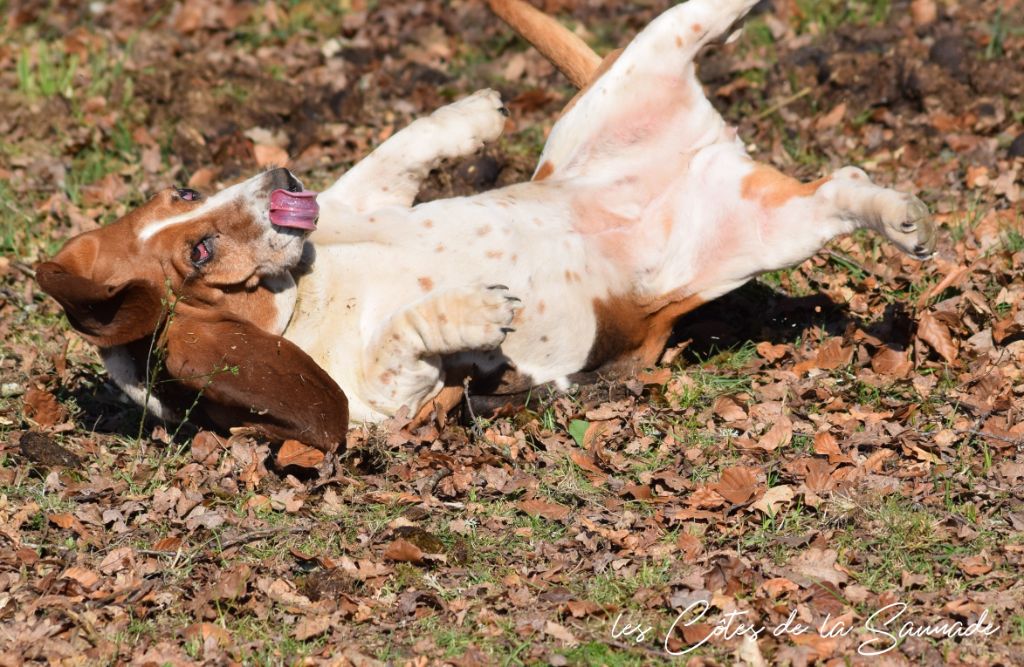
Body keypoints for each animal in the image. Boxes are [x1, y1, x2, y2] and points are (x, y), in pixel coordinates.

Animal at [36, 0, 933, 454]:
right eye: (202, 249)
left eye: (185, 191)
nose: (282, 178)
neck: (305, 295)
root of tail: (706, 152)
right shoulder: (390, 406)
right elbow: (406, 336)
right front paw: (467, 310)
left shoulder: (359, 204)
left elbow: (387, 157)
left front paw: (464, 117)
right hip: (764, 232)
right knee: (844, 190)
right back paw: (900, 216)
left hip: (655, 52)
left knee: (714, 15)